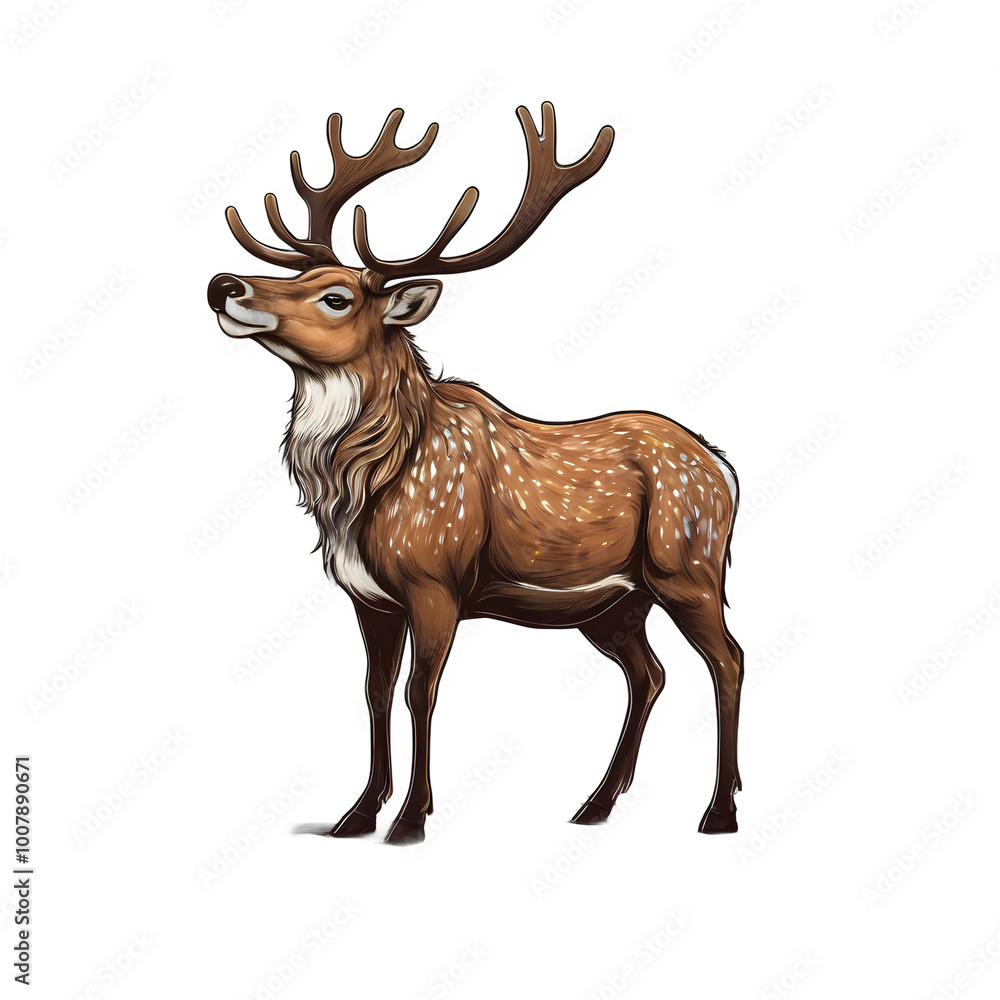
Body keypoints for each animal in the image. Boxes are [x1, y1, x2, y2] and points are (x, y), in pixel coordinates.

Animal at [207, 104, 744, 844]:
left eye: (337, 297)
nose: (223, 285)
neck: (362, 484)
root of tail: (724, 469)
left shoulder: (436, 581)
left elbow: (420, 691)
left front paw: (410, 819)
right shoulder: (369, 597)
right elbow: (373, 693)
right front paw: (356, 815)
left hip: (688, 568)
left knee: (727, 661)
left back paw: (719, 812)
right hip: (614, 603)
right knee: (649, 674)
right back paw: (594, 804)